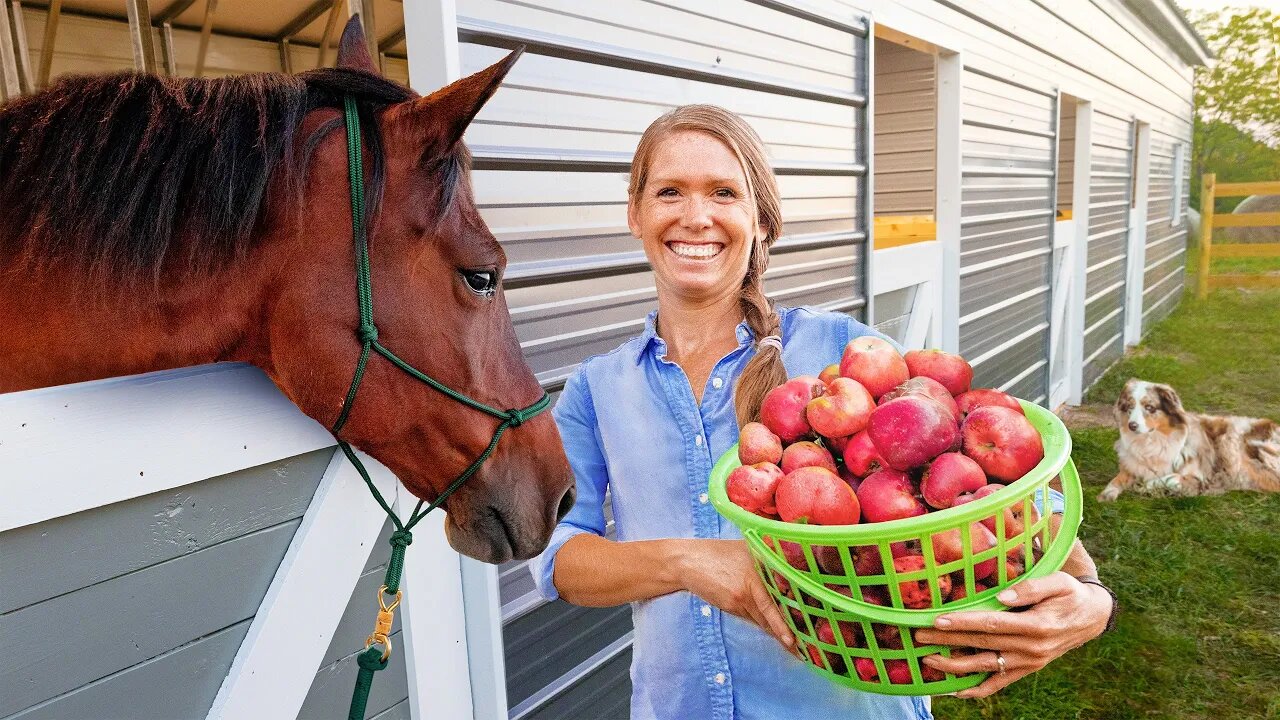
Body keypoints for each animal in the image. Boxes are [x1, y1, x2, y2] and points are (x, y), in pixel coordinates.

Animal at [1090, 379, 1280, 502]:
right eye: (1129, 407)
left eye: (1149, 407)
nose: (1132, 426)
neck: (1153, 442)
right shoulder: (1132, 466)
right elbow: (1117, 480)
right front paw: (1107, 493)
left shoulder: (1198, 478)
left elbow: (1169, 477)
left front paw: (1147, 486)